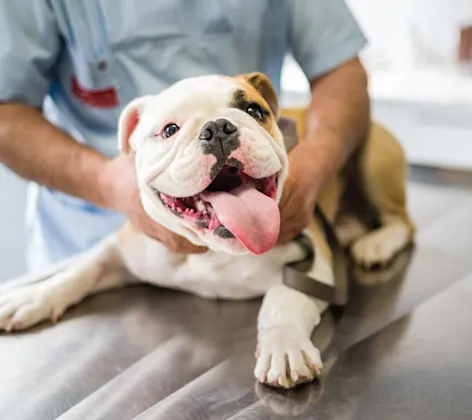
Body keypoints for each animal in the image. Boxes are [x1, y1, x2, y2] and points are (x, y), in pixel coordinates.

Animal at [0, 73, 412, 390]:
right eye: (169, 129)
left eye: (253, 111)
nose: (218, 128)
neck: (215, 248)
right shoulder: (124, 248)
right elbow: (81, 269)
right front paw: (33, 296)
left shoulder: (313, 260)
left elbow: (283, 299)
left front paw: (283, 344)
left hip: (373, 157)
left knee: (404, 223)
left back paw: (376, 244)